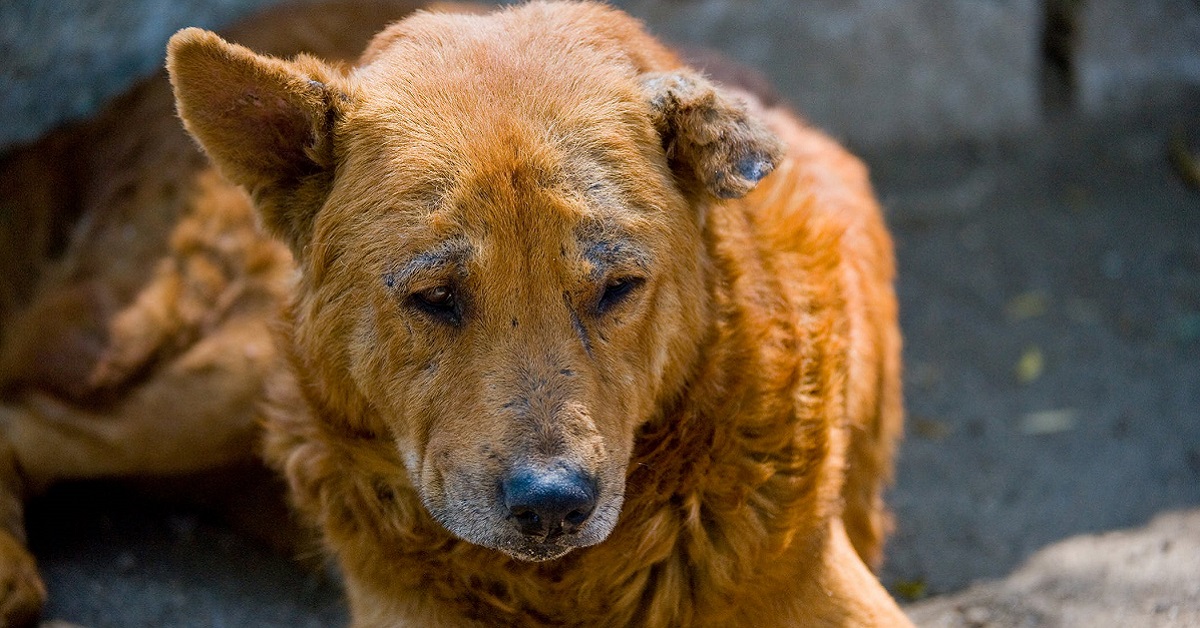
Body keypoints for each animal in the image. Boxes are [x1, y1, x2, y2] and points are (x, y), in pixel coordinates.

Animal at [0, 2, 902, 624]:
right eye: (435, 298)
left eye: (616, 288)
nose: (552, 506)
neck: (560, 590)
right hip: (222, 367)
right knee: (27, 415)